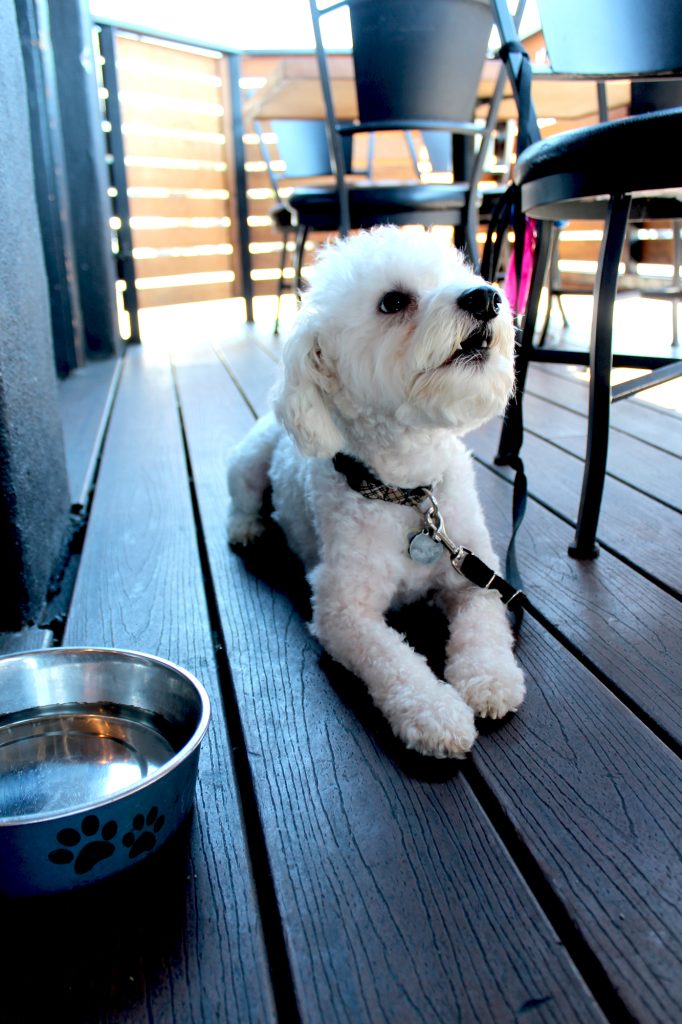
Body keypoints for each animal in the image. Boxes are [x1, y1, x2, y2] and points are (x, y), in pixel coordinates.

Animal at [225, 228, 522, 757]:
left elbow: (484, 629)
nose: (486, 297)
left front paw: (489, 679)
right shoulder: (344, 610)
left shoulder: (476, 575)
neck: (408, 492)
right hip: (250, 459)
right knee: (239, 493)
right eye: (393, 302)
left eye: (461, 275)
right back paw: (247, 527)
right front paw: (434, 710)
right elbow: (392, 661)